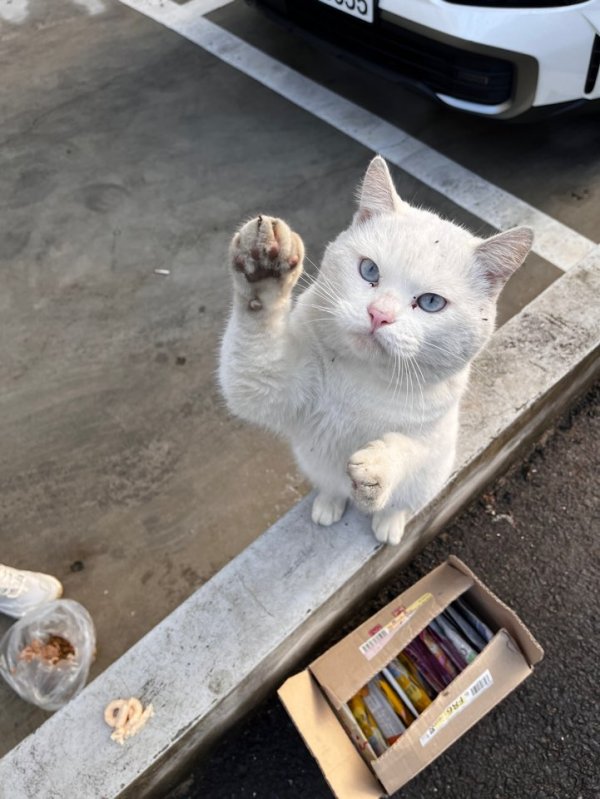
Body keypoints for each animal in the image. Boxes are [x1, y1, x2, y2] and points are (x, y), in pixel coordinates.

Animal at [218, 156, 532, 544]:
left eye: (431, 302)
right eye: (369, 270)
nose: (378, 315)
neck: (362, 378)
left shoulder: (433, 439)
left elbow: (410, 450)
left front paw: (378, 469)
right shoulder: (274, 386)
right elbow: (254, 354)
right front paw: (263, 272)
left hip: (430, 480)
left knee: (404, 501)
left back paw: (389, 523)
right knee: (331, 485)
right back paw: (329, 503)